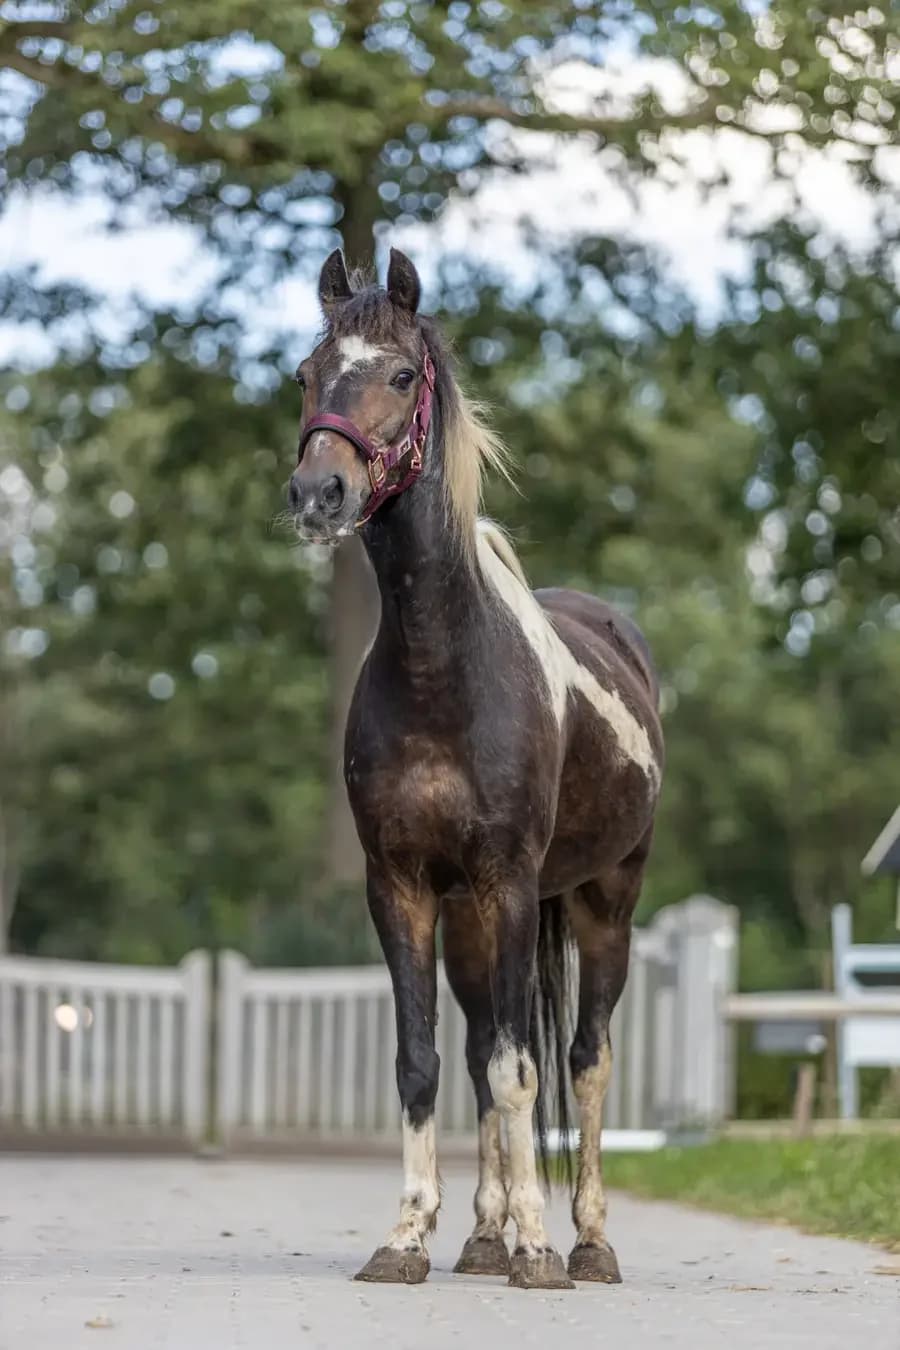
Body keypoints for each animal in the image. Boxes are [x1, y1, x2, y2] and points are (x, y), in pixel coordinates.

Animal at [288, 247, 664, 1291]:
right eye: (305, 374)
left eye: (400, 376)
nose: (317, 496)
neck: (443, 669)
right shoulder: (405, 887)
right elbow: (428, 1063)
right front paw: (409, 1236)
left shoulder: (509, 880)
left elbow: (522, 1070)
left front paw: (540, 1250)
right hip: (471, 923)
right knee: (482, 1047)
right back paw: (485, 1236)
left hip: (604, 902)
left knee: (581, 1057)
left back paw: (587, 1242)